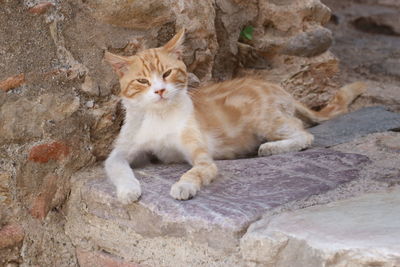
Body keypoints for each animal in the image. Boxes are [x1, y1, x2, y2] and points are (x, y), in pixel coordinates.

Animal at [104, 29, 366, 204]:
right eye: (142, 81)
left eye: (167, 73)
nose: (159, 90)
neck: (159, 116)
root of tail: (279, 88)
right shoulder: (119, 154)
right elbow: (119, 169)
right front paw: (128, 191)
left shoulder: (202, 157)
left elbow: (196, 171)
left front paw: (183, 186)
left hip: (265, 120)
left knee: (303, 133)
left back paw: (271, 147)